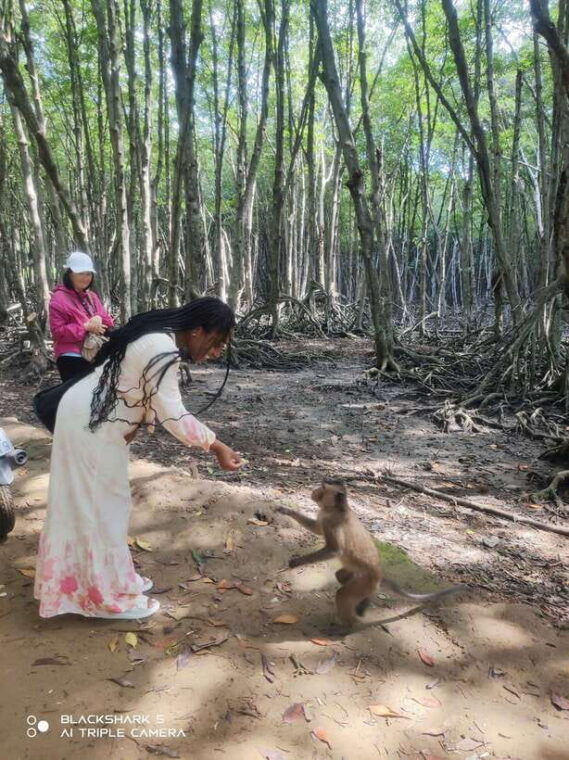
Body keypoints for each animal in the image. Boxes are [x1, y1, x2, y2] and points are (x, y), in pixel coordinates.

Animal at [277, 478, 465, 629]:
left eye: (322, 488)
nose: (314, 491)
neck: (337, 509)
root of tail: (378, 573)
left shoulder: (333, 522)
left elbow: (334, 550)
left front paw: (297, 562)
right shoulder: (325, 516)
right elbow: (317, 529)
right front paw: (286, 510)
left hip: (365, 581)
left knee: (343, 595)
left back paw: (349, 626)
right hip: (361, 577)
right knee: (341, 576)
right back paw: (365, 601)